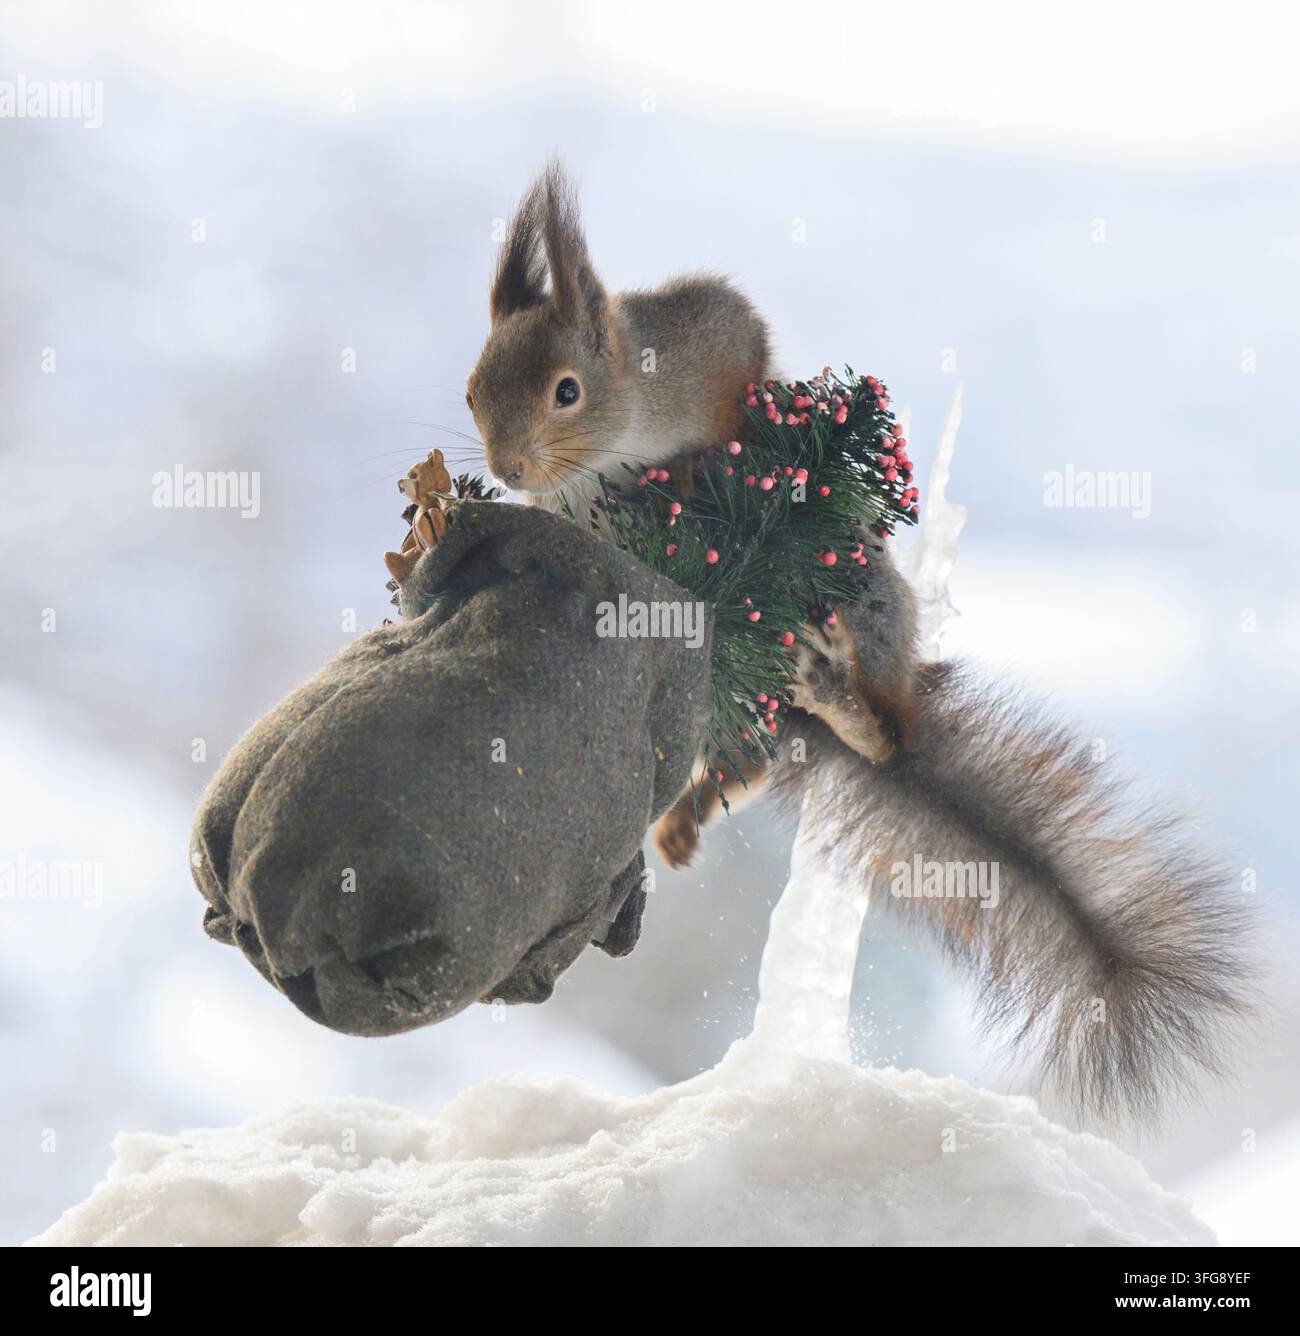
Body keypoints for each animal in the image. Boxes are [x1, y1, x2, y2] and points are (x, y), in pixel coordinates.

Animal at [464, 163, 1256, 1122]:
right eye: (472, 390)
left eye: (567, 390)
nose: (505, 469)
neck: (612, 452)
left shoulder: (707, 335)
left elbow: (747, 355)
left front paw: (709, 457)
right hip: (726, 708)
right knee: (749, 757)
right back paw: (694, 806)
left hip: (867, 602)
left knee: (878, 726)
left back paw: (848, 700)